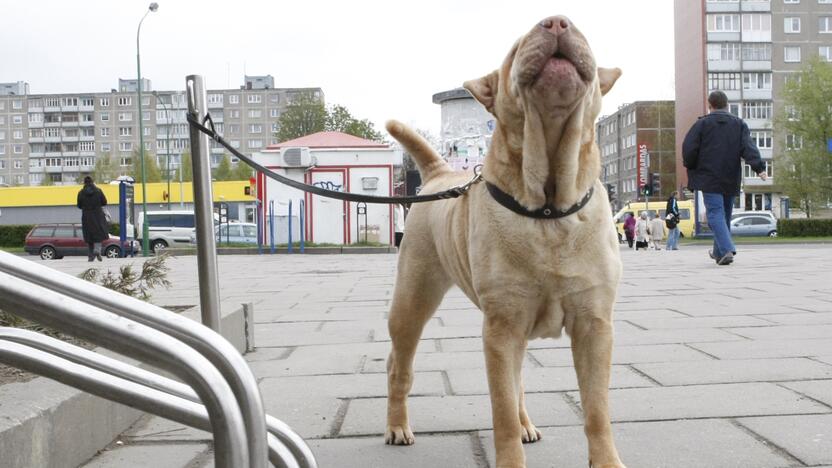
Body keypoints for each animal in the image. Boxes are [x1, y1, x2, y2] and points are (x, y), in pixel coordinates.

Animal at [384, 14, 624, 468]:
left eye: (580, 31)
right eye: (515, 49)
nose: (556, 22)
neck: (548, 208)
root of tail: (439, 174)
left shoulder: (594, 324)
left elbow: (598, 410)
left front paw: (605, 460)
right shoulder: (501, 326)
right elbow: (502, 414)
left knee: (517, 384)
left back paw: (527, 423)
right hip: (413, 298)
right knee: (398, 364)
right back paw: (396, 426)